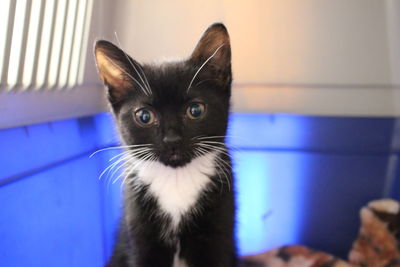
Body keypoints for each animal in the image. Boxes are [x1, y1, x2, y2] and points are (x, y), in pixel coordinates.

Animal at [94, 23, 236, 267]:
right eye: (144, 116)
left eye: (195, 110)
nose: (172, 139)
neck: (176, 178)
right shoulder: (140, 232)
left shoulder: (218, 230)